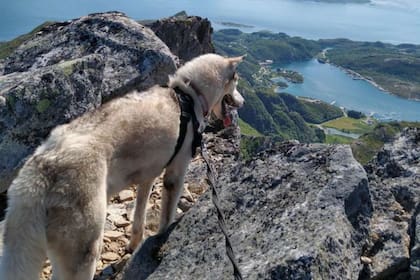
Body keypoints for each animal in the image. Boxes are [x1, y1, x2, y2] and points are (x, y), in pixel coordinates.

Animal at [0, 53, 244, 278]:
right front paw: (161, 235)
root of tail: (45, 165)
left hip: (19, 243)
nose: (242, 102)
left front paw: (134, 243)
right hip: (83, 249)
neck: (188, 94)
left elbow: (139, 213)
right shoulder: (176, 172)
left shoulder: (148, 176)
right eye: (236, 81)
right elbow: (166, 215)